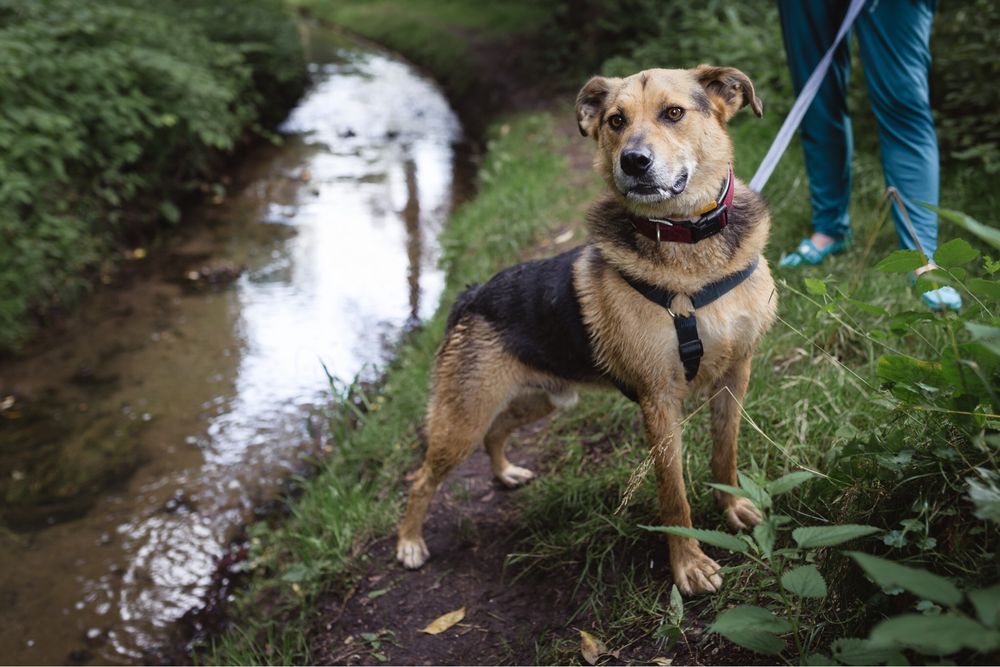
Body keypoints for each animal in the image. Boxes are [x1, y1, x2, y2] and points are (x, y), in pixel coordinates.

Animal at [394, 65, 776, 596]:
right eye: (616, 120)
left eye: (673, 112)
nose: (633, 161)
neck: (689, 246)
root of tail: (470, 295)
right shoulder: (660, 400)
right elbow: (673, 493)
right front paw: (689, 564)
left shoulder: (736, 373)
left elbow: (725, 454)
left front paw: (733, 507)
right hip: (463, 418)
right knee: (422, 478)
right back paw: (409, 543)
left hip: (543, 397)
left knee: (498, 432)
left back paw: (505, 472)